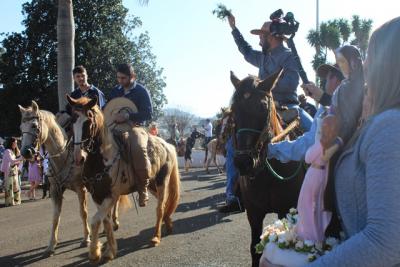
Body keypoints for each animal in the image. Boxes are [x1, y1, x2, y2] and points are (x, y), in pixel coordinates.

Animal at [17, 102, 125, 258]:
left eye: (34, 126)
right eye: (21, 128)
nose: (26, 152)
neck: (63, 157)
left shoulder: (81, 188)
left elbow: (83, 213)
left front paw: (86, 239)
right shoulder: (55, 190)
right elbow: (55, 216)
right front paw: (51, 245)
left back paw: (114, 222)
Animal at [68, 96, 180, 264]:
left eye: (89, 121)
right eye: (72, 122)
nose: (78, 157)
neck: (102, 158)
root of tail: (167, 145)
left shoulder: (111, 195)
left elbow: (95, 221)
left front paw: (94, 253)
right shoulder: (97, 196)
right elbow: (106, 221)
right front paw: (110, 251)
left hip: (162, 181)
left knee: (160, 208)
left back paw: (156, 237)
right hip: (151, 184)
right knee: (165, 203)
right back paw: (168, 223)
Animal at [230, 71, 304, 267]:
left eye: (263, 107)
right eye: (233, 109)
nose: (243, 162)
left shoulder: (285, 209)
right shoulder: (253, 212)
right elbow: (255, 248)